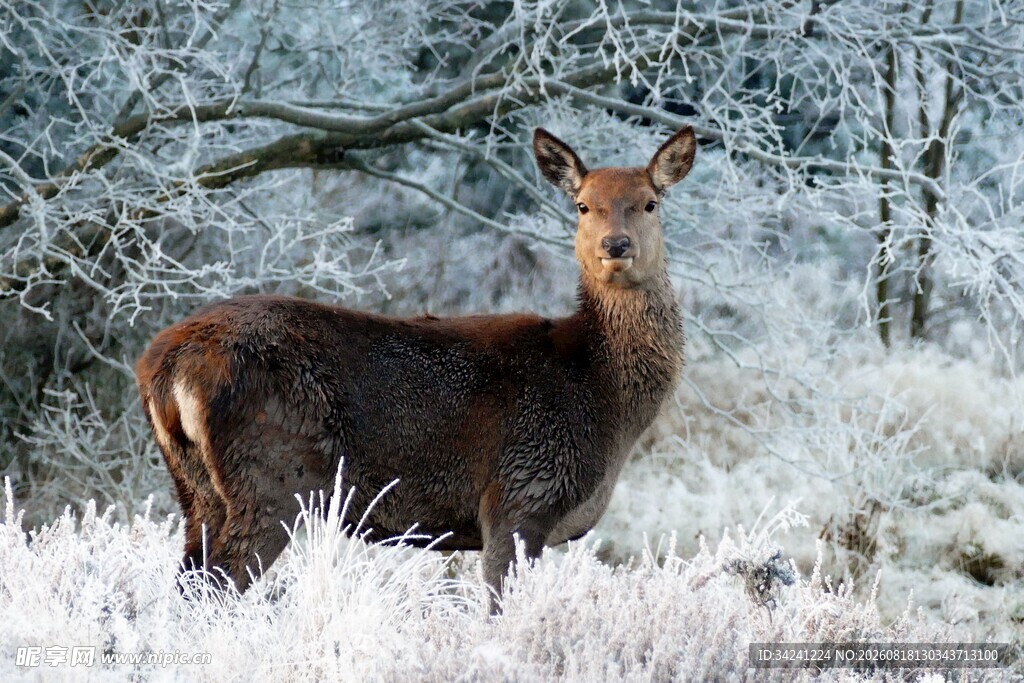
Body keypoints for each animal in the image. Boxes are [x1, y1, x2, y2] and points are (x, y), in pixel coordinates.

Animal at [135, 125, 695, 611]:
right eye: (583, 205)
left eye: (650, 202)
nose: (615, 245)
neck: (600, 394)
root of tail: (164, 367)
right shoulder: (520, 495)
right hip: (272, 476)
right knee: (216, 587)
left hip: (196, 489)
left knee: (187, 584)